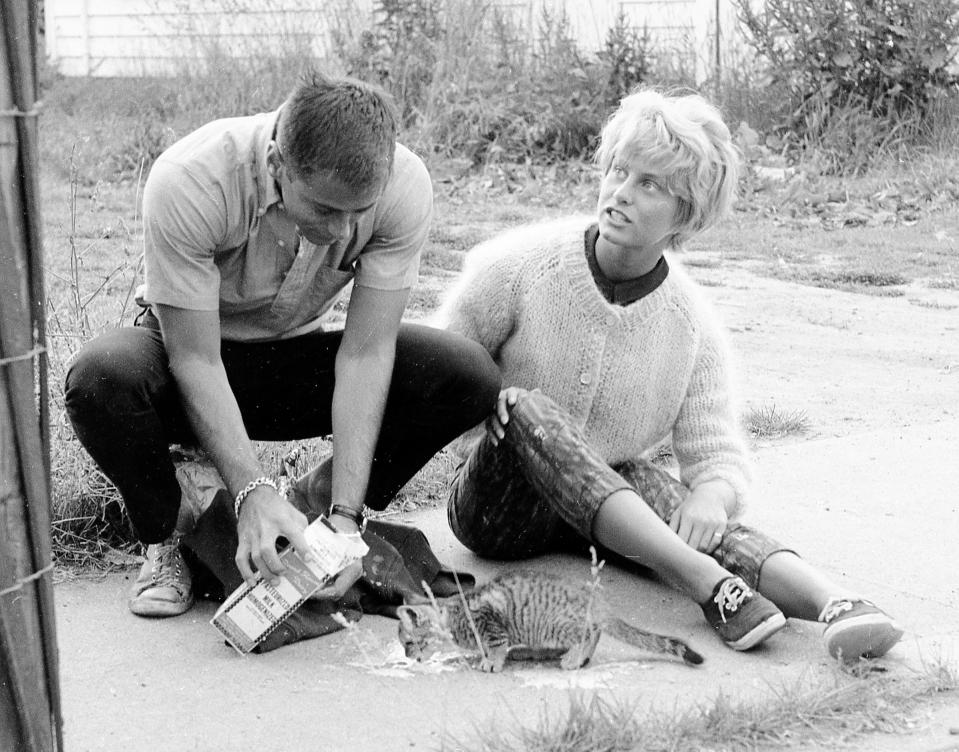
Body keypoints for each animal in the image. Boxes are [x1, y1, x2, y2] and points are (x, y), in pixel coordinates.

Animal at [394, 568, 700, 668]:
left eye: (408, 643)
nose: (408, 657)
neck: (455, 612)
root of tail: (597, 601)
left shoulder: (492, 625)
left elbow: (495, 647)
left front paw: (491, 662)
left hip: (557, 625)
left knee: (591, 632)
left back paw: (574, 659)